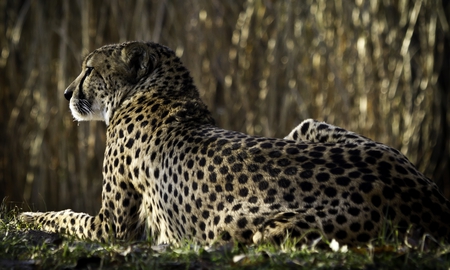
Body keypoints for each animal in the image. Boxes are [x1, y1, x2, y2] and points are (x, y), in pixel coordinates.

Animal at [21, 41, 450, 246]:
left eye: (89, 69)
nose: (65, 93)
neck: (155, 89)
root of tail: (426, 197)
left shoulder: (111, 226)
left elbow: (64, 216)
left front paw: (24, 216)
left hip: (242, 226)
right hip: (309, 126)